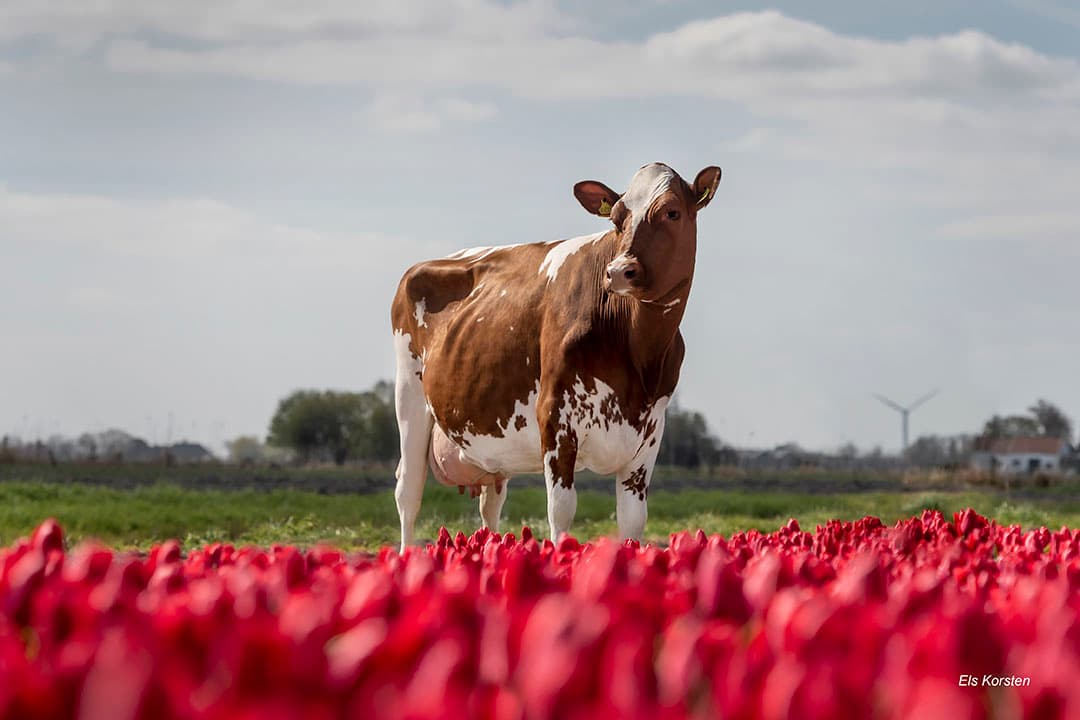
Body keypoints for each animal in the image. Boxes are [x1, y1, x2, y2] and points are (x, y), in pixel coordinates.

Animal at [390, 162, 721, 551]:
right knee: (408, 491)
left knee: (491, 502)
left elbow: (633, 519)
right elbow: (561, 510)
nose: (618, 271)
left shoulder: (651, 431)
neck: (635, 347)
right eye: (617, 219)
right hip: (410, 399)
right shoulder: (555, 415)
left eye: (672, 212)